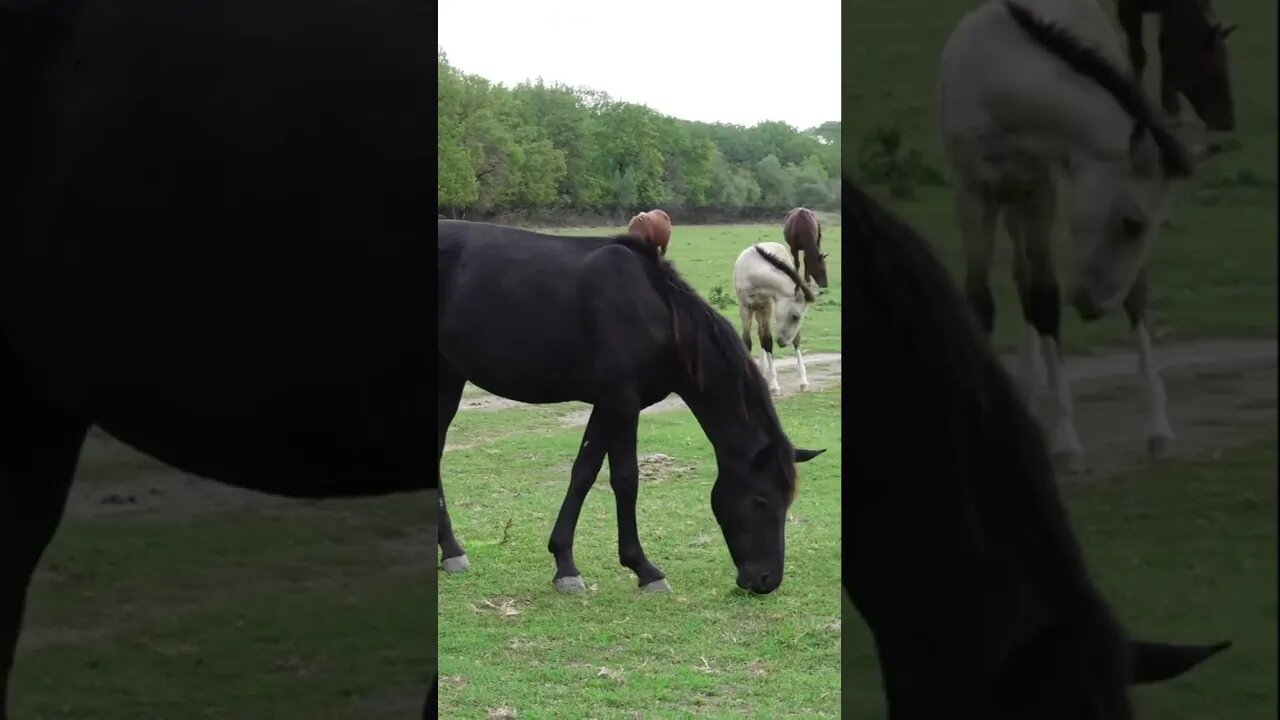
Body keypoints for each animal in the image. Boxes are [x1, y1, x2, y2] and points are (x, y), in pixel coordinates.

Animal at [733, 243, 817, 394]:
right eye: (795, 316)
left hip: (763, 309)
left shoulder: (766, 305)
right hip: (756, 309)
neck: (753, 274)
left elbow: (767, 341)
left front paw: (774, 385)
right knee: (760, 334)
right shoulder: (744, 306)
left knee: (795, 340)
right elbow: (748, 341)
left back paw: (803, 381)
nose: (783, 342)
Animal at [938, 0, 1220, 470]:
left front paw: (1067, 442)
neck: (1003, 87)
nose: (1091, 306)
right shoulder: (972, 192)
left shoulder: (1040, 189)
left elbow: (1045, 299)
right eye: (1133, 223)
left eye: (1144, 227)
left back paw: (1157, 428)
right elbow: (983, 301)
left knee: (1125, 296)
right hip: (1010, 201)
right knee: (1021, 277)